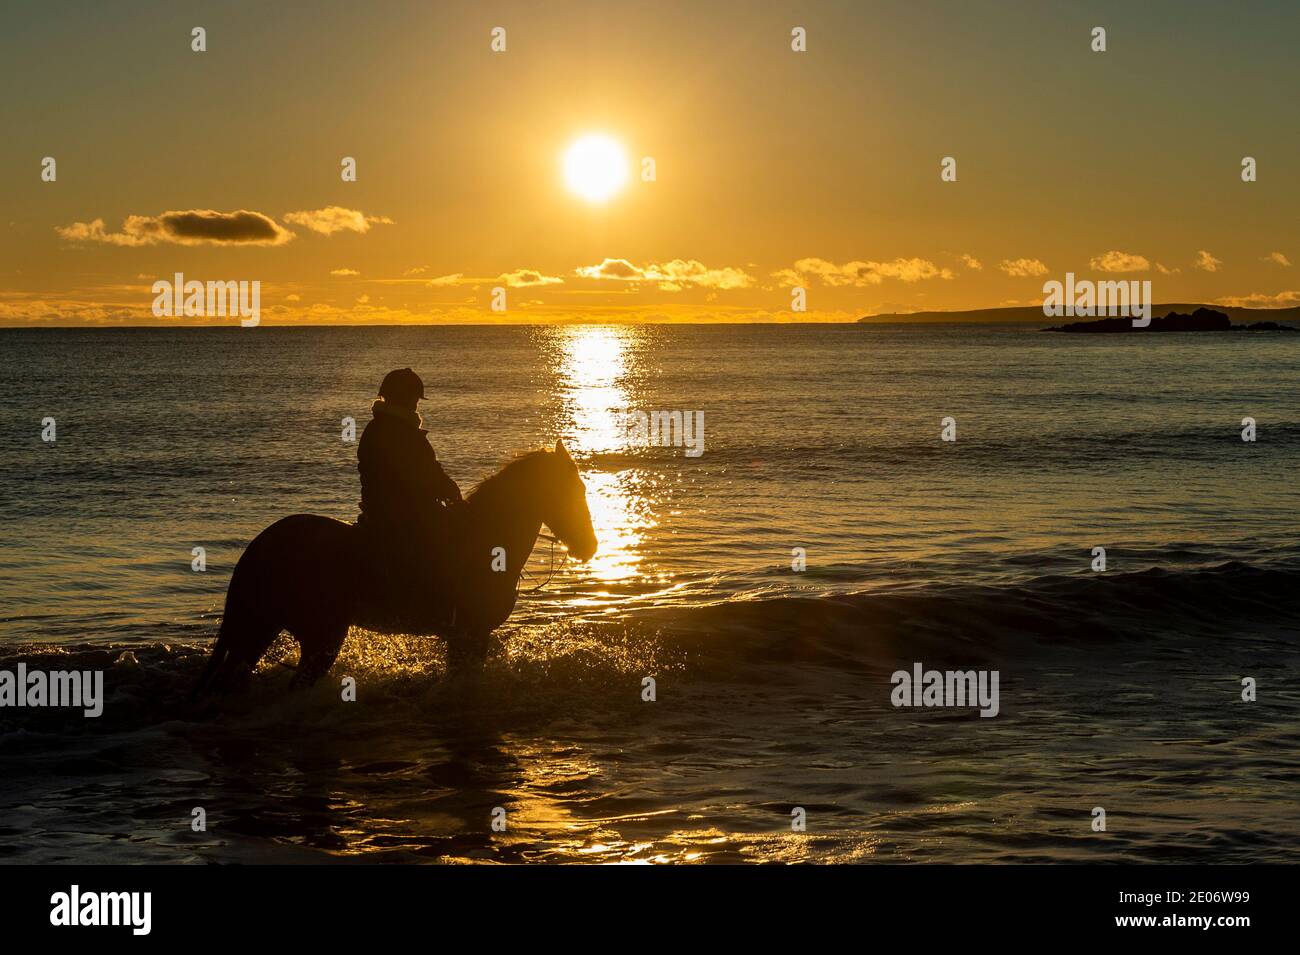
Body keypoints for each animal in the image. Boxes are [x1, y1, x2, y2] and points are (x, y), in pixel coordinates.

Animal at [195, 441, 595, 696]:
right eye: (570, 491)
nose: (589, 546)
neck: (485, 540)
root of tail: (260, 546)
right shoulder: (470, 633)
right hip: (317, 636)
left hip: (263, 626)